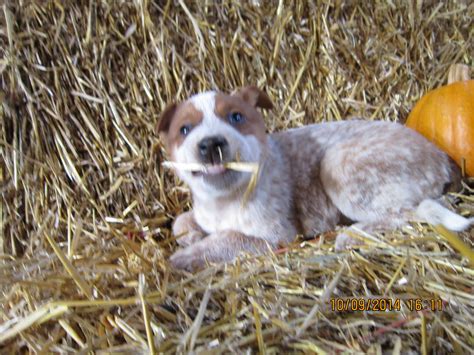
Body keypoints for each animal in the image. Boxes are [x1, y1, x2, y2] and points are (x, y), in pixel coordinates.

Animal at [156, 87, 470, 272]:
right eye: (184, 129)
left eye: (236, 117)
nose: (211, 144)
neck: (223, 201)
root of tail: (441, 157)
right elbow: (181, 222)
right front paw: (192, 235)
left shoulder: (276, 236)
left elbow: (228, 238)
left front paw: (182, 259)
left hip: (338, 163)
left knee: (411, 212)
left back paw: (351, 235)